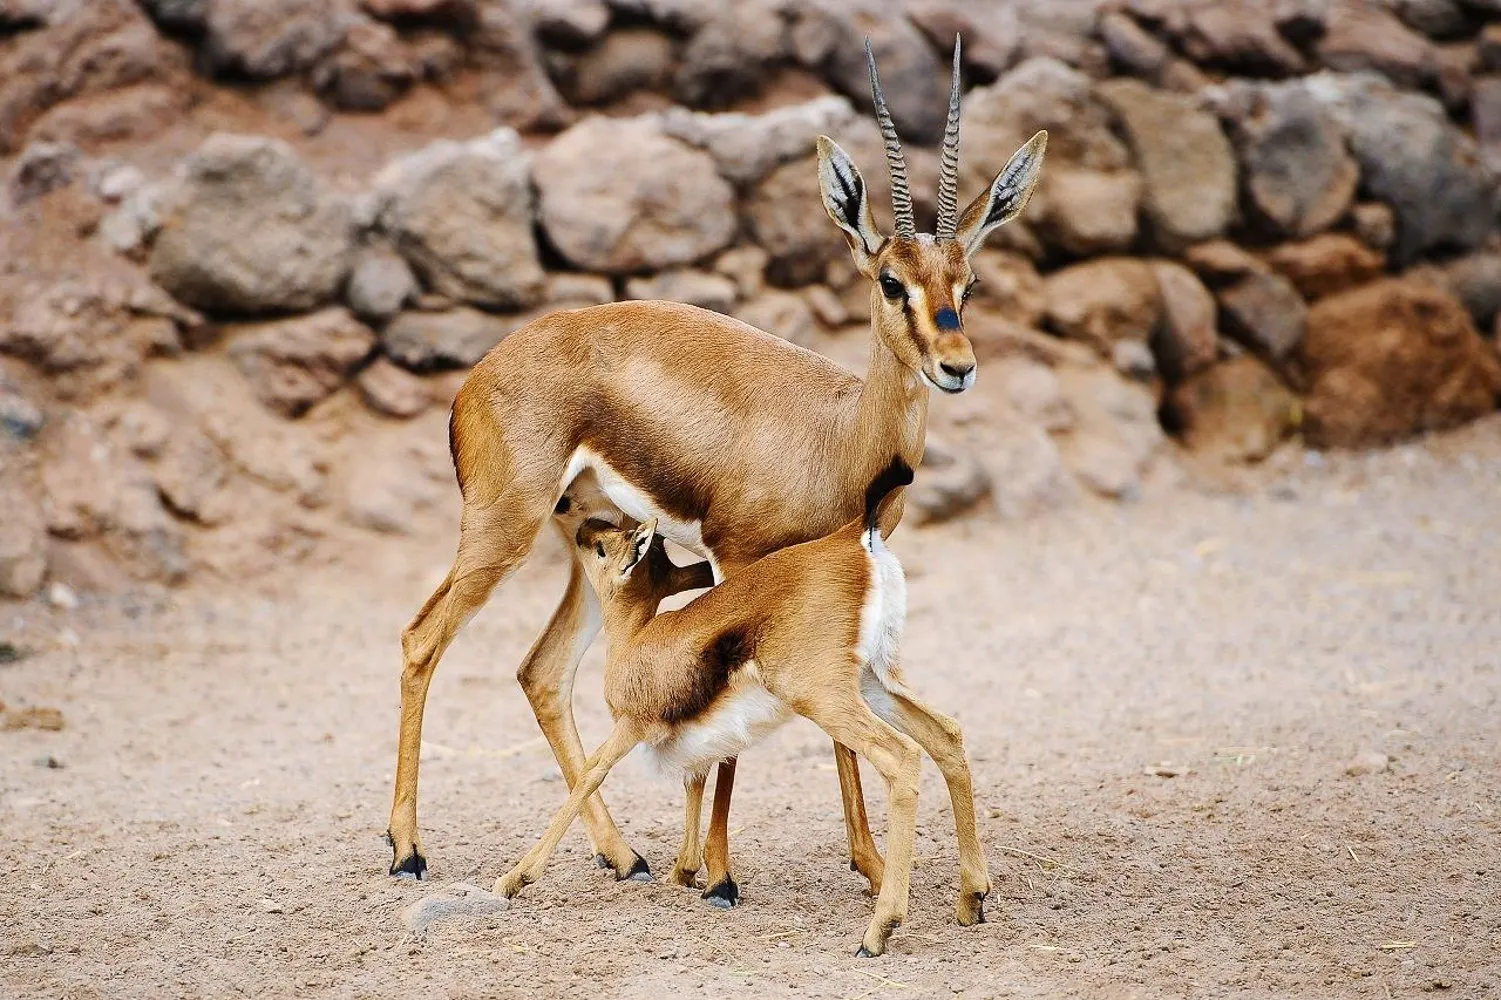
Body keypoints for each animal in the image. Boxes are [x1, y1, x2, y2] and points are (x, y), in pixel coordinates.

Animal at [497, 458, 986, 957]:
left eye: (601, 548)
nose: (581, 528)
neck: (637, 639)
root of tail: (857, 536)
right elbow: (695, 778)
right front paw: (685, 875)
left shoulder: (632, 725)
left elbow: (591, 774)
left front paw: (515, 879)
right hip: (874, 683)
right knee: (947, 735)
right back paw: (972, 899)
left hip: (826, 697)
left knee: (902, 757)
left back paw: (880, 930)